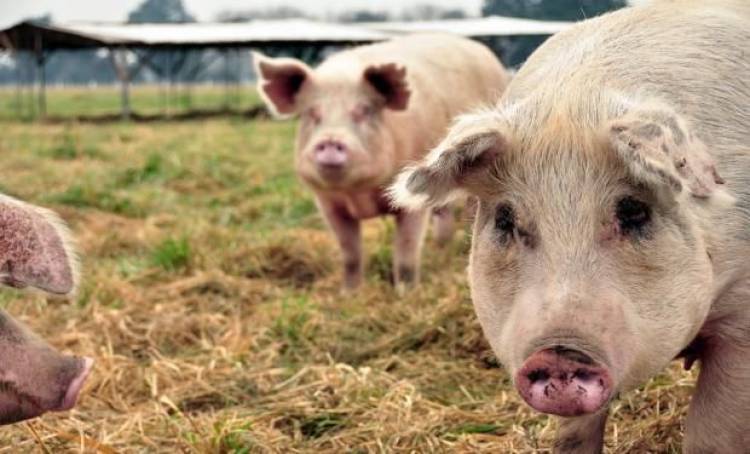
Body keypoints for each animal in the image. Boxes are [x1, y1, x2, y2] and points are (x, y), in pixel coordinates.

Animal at [254, 35, 512, 290]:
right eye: (312, 113)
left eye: (364, 110)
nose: (330, 140)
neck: (359, 194)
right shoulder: (328, 203)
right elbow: (350, 254)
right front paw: (349, 293)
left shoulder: (412, 201)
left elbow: (406, 250)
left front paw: (405, 292)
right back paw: (441, 246)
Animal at [390, 1, 750, 452]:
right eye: (506, 219)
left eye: (634, 211)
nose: (559, 352)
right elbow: (574, 434)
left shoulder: (741, 322)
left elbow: (710, 435)